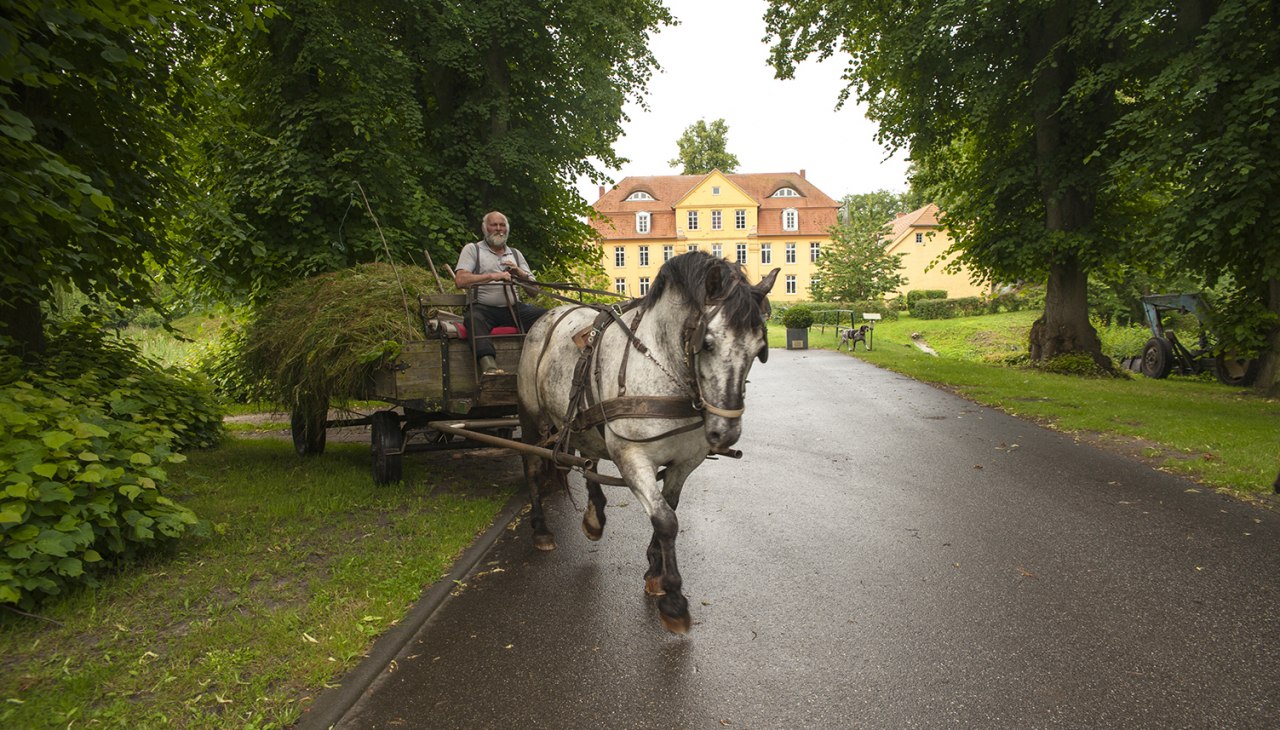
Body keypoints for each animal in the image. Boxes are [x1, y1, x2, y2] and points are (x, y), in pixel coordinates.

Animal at [516, 252, 779, 633]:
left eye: (759, 349)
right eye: (708, 343)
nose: (725, 434)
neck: (662, 366)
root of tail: (548, 315)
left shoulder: (685, 461)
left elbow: (669, 508)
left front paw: (655, 571)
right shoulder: (631, 456)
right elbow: (666, 520)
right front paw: (674, 599)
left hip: (583, 420)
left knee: (589, 459)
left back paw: (594, 517)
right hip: (533, 420)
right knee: (534, 466)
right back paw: (540, 529)